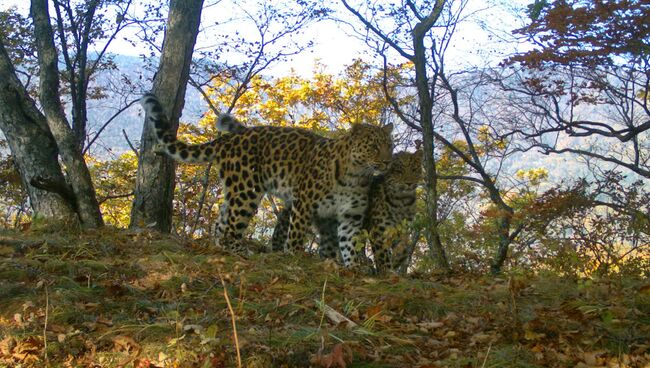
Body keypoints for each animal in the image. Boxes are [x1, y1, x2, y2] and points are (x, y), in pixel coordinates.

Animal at [140, 91, 392, 264]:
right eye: (373, 147)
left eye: (389, 145)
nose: (387, 162)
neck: (356, 176)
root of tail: (228, 138)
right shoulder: (304, 202)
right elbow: (296, 234)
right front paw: (293, 256)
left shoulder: (351, 216)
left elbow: (350, 244)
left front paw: (353, 268)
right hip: (246, 190)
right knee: (231, 228)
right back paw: (243, 252)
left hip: (234, 189)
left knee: (221, 223)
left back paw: (220, 248)